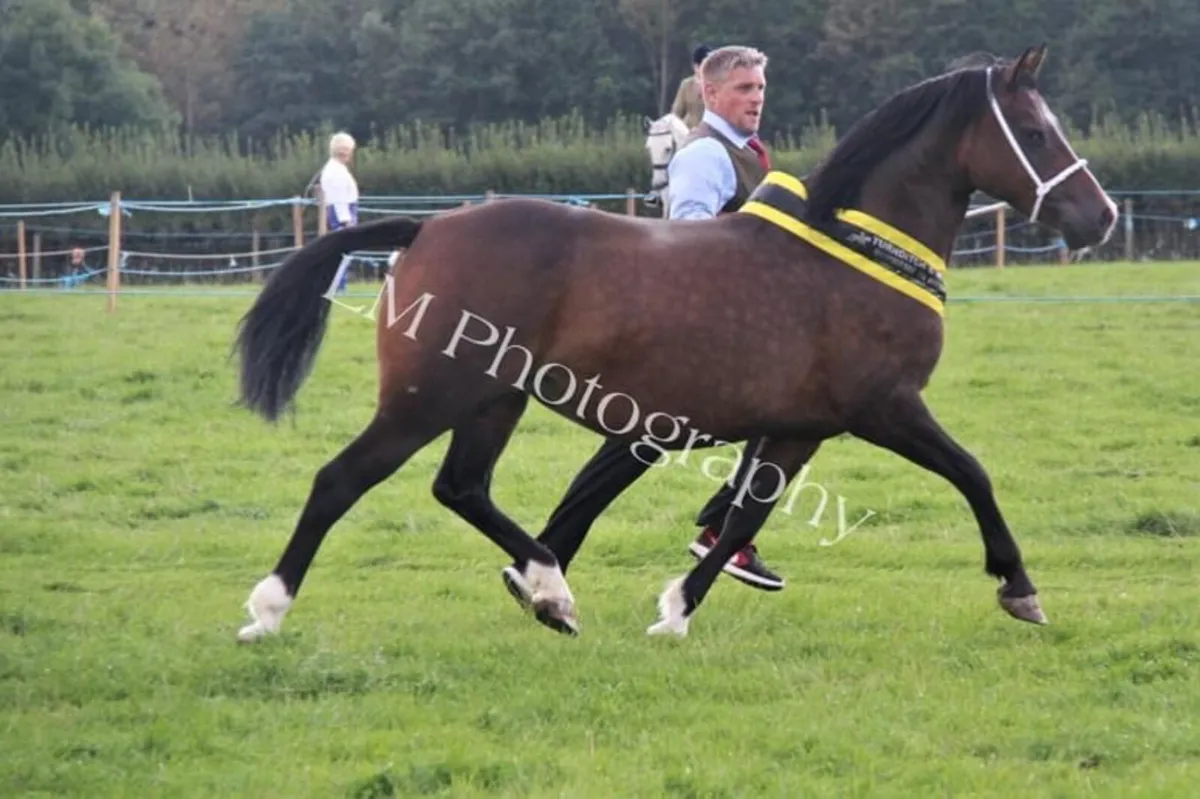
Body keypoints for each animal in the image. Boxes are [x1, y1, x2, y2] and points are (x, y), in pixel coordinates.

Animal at [232, 46, 1117, 643]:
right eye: (1035, 131)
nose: (1100, 217)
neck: (855, 251)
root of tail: (429, 227)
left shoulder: (798, 428)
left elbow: (743, 511)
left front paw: (676, 610)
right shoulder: (885, 408)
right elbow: (972, 473)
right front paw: (1019, 586)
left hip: (494, 400)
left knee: (462, 487)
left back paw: (548, 588)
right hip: (430, 396)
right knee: (341, 480)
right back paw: (270, 609)